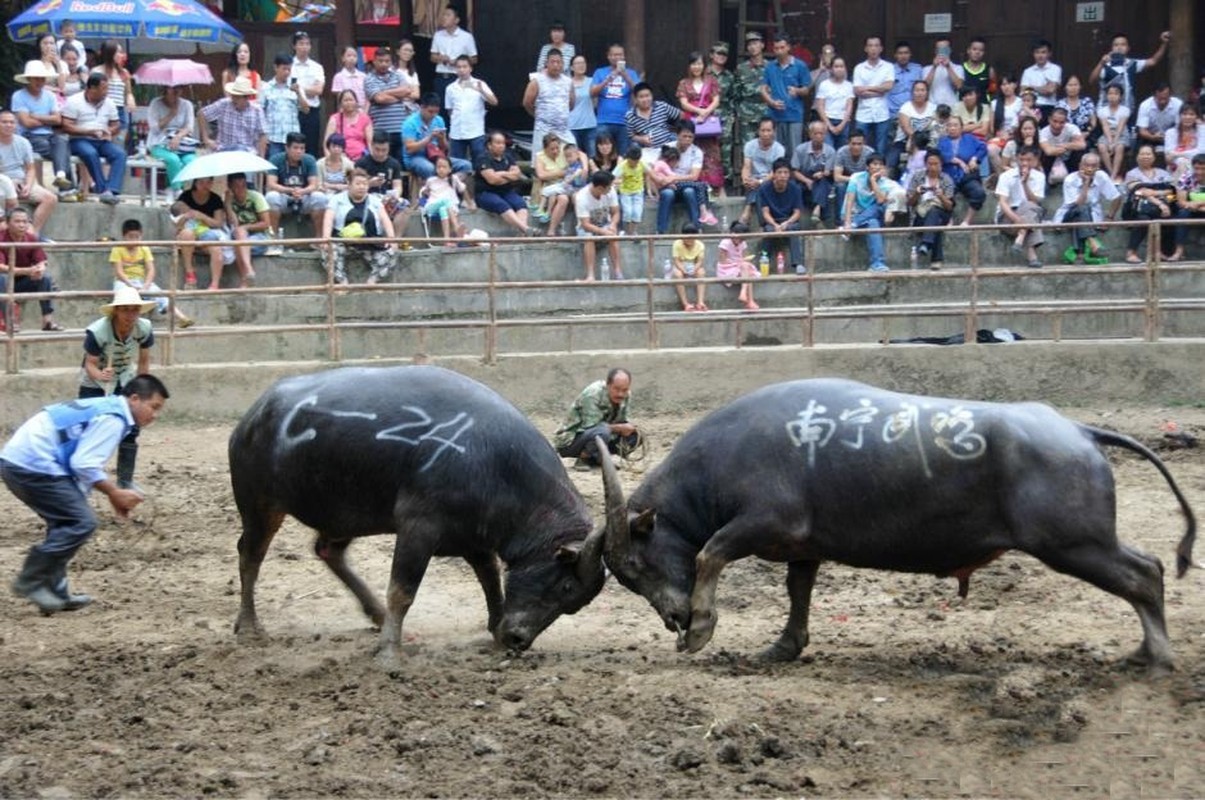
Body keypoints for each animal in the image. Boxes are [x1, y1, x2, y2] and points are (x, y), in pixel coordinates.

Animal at [227, 363, 602, 660]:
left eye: (576, 603)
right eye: (566, 585)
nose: (518, 640)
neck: (493, 462)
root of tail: (252, 418)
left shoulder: (474, 539)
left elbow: (491, 580)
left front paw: (495, 630)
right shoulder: (417, 527)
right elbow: (402, 591)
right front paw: (390, 652)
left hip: (346, 514)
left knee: (327, 551)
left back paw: (376, 615)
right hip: (260, 505)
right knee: (250, 555)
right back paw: (249, 627)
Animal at [602, 378, 1195, 669]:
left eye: (634, 565)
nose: (674, 618)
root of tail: (1078, 431)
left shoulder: (764, 523)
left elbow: (710, 551)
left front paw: (702, 629)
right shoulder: (803, 546)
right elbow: (798, 591)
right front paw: (783, 648)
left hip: (1073, 542)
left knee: (1145, 574)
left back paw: (1158, 657)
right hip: (1084, 540)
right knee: (1150, 566)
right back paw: (1146, 651)